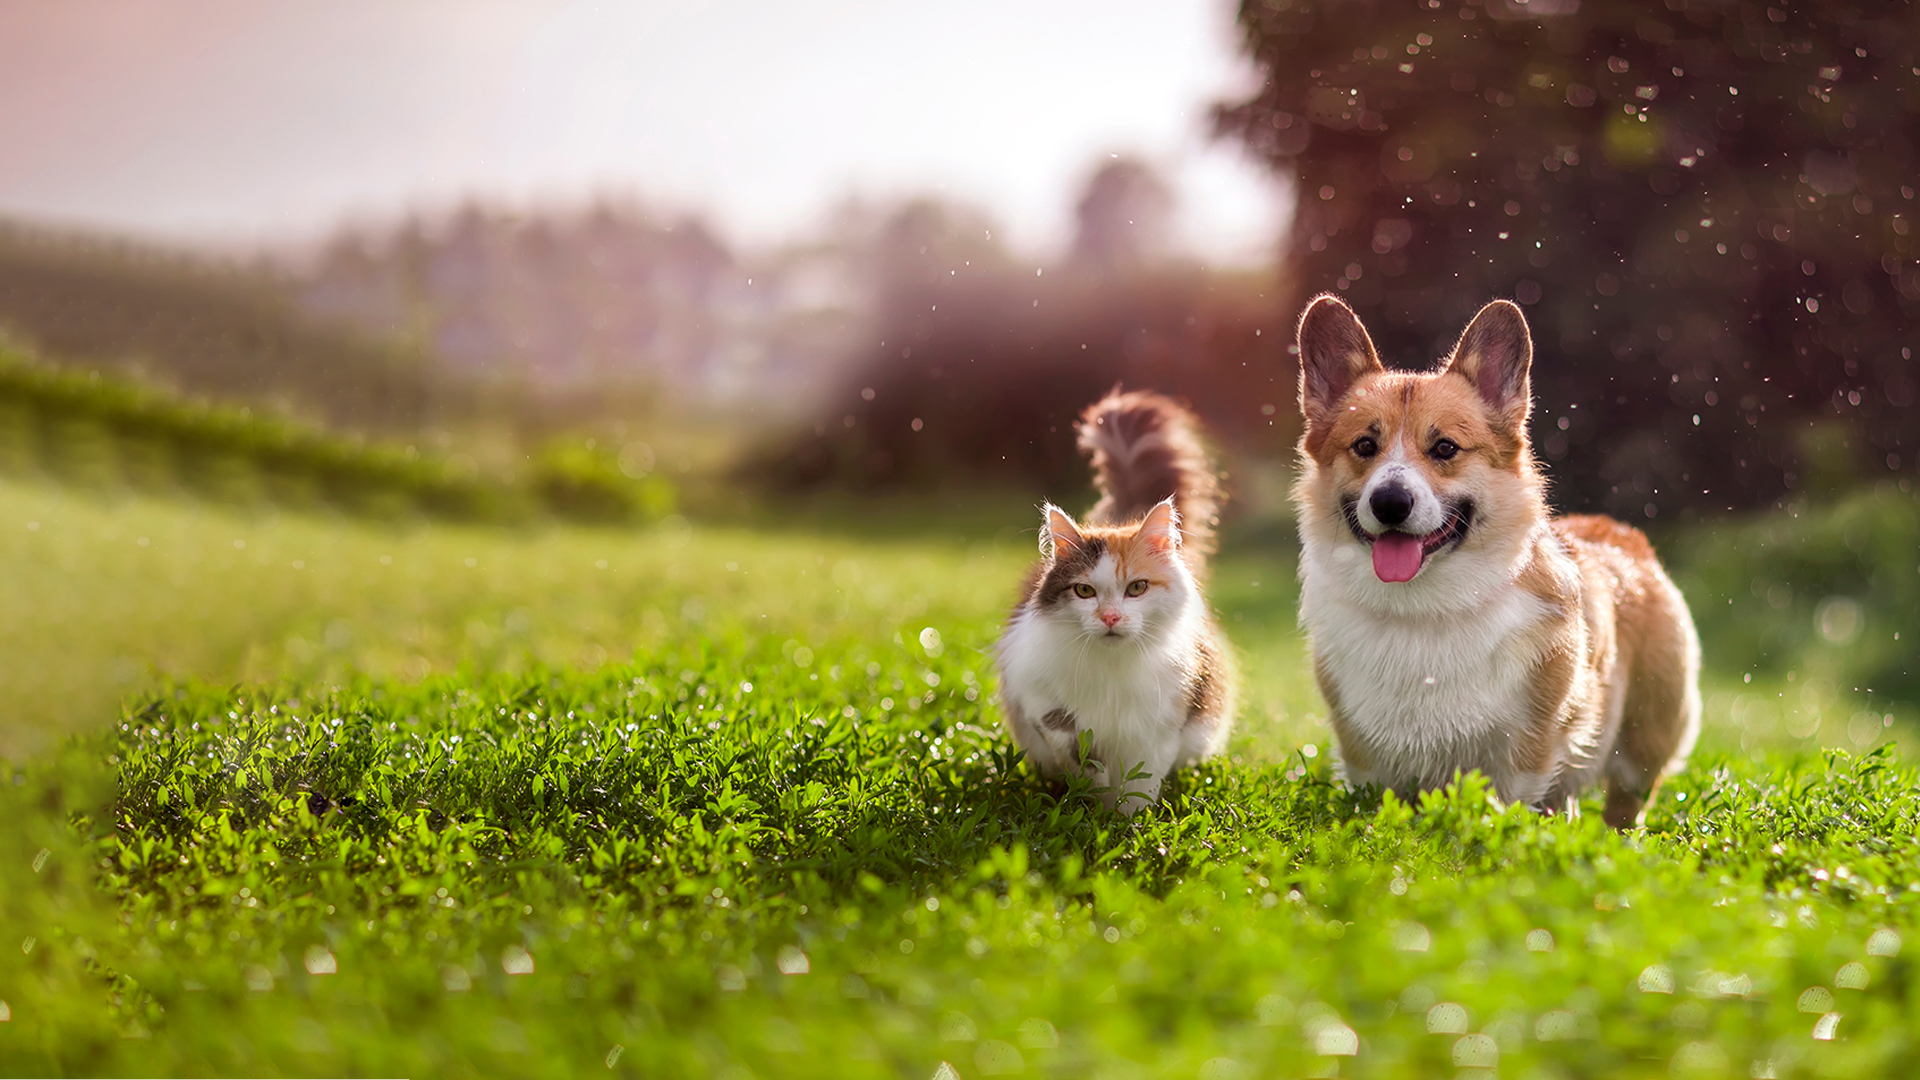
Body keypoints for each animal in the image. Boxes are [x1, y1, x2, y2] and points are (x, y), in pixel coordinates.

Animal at [998, 386, 1236, 807]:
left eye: (1136, 588)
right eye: (1084, 591)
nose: (1110, 617)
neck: (1112, 671)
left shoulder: (1161, 725)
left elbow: (1140, 785)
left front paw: (1125, 819)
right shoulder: (1035, 694)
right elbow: (1073, 746)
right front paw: (1093, 796)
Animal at [1290, 294, 1697, 822]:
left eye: (1445, 448)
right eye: (1364, 445)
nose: (1390, 502)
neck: (1423, 609)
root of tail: (1622, 533)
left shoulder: (1527, 749)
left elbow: (1510, 805)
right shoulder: (1364, 756)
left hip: (1643, 742)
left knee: (1624, 805)